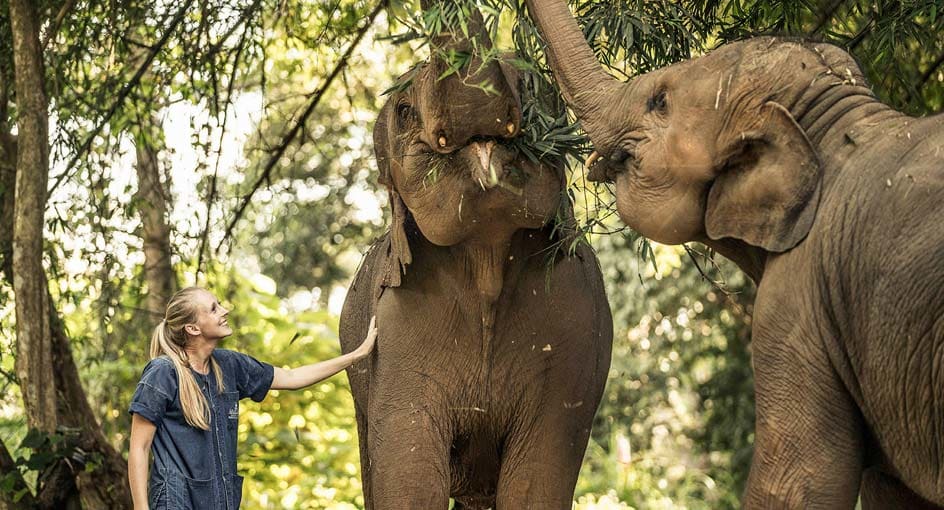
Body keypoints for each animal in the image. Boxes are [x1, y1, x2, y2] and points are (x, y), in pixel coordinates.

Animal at [340, 5, 612, 508]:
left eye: (534, 87)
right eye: (404, 111)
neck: (487, 254)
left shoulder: (576, 335)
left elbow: (536, 483)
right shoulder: (395, 336)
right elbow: (410, 482)